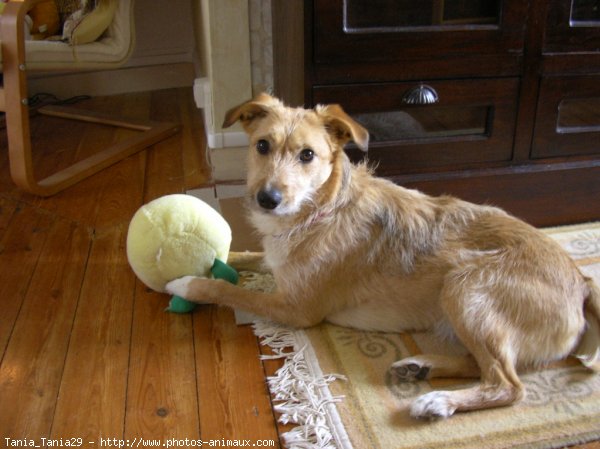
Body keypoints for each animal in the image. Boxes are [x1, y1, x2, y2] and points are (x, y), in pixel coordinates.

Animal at [165, 93, 600, 418]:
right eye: (261, 146)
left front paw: (186, 282)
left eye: (307, 155)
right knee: (483, 366)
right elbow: (240, 254)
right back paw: (421, 366)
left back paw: (438, 401)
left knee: (508, 385)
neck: (319, 210)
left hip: (465, 286)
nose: (267, 199)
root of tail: (581, 282)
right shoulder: (276, 264)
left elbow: (229, 290)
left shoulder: (296, 308)